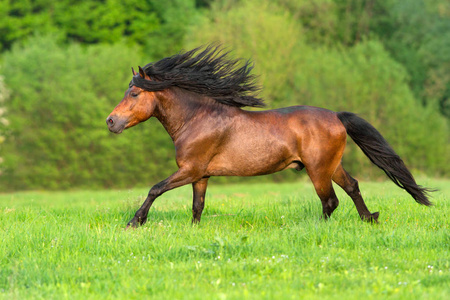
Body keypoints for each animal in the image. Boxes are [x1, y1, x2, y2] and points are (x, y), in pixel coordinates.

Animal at [106, 45, 432, 227]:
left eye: (134, 93)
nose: (110, 122)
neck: (196, 119)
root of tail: (336, 116)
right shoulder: (201, 174)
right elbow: (197, 206)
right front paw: (193, 230)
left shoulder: (190, 169)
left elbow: (155, 189)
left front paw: (134, 222)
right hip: (331, 165)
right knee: (352, 187)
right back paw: (369, 219)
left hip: (317, 169)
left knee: (330, 201)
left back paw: (319, 227)